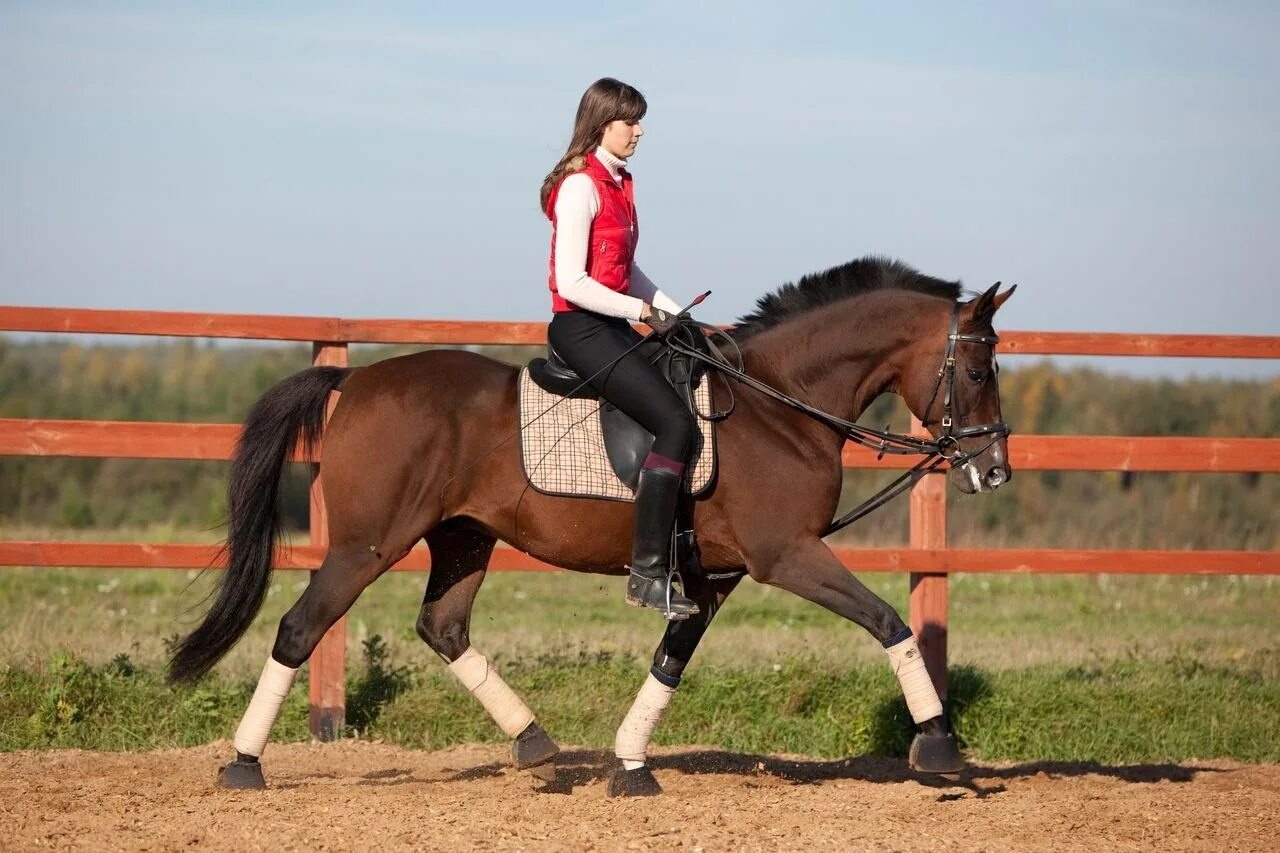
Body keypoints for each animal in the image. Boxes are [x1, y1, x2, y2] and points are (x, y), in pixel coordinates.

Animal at [170, 252, 1013, 788]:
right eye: (977, 370)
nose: (994, 470)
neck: (780, 404)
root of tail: (355, 381)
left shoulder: (715, 574)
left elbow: (671, 659)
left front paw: (631, 764)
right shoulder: (787, 554)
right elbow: (889, 621)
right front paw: (939, 744)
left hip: (464, 536)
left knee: (443, 627)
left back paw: (536, 742)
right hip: (365, 544)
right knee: (300, 628)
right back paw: (243, 764)